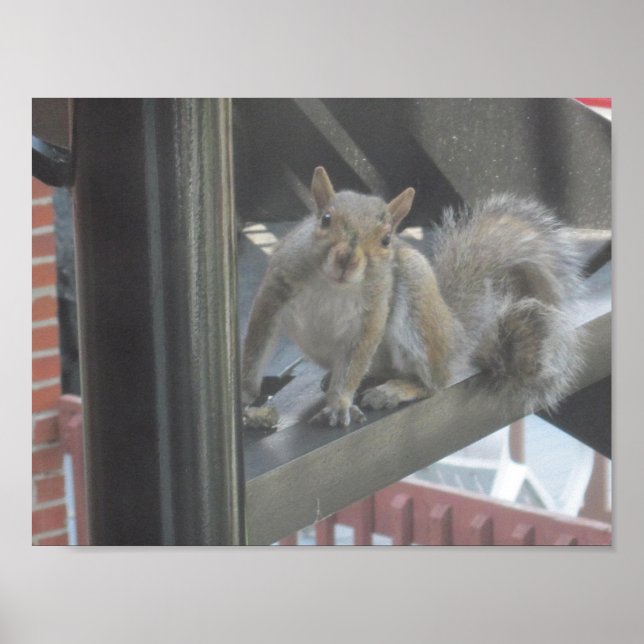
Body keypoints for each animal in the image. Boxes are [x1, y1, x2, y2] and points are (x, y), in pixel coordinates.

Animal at [241, 166, 585, 427]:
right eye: (325, 219)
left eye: (386, 239)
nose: (347, 259)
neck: (334, 285)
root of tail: (457, 335)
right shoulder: (276, 287)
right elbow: (258, 341)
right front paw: (246, 392)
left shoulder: (373, 311)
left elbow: (356, 357)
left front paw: (339, 404)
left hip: (418, 303)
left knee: (435, 383)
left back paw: (395, 390)